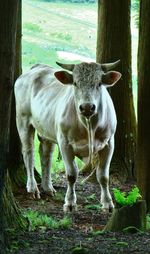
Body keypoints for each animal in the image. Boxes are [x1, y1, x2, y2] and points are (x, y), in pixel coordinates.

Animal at [14, 60, 121, 211]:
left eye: (99, 83)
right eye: (75, 83)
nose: (87, 107)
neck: (88, 126)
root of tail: (37, 68)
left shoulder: (109, 143)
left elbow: (103, 176)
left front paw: (108, 203)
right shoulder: (65, 143)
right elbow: (71, 175)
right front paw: (70, 203)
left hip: (46, 129)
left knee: (46, 155)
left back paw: (48, 187)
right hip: (23, 121)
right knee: (29, 153)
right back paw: (33, 187)